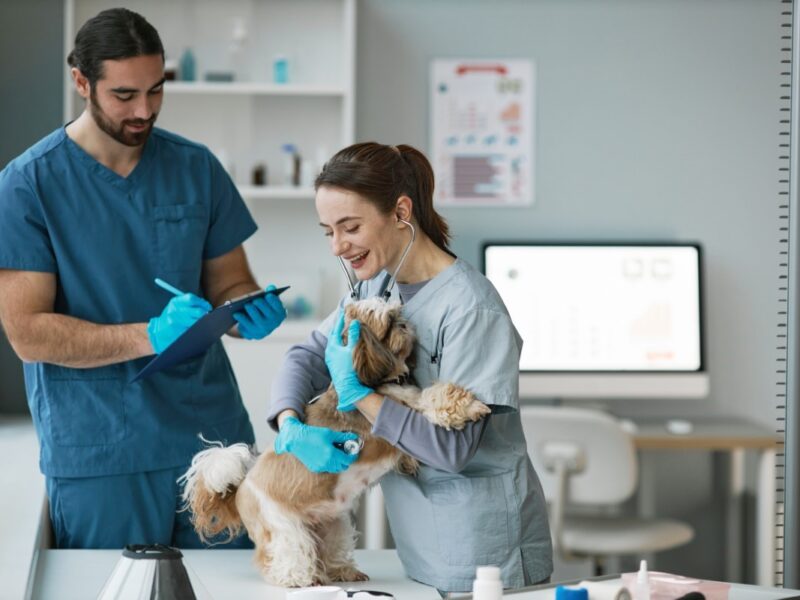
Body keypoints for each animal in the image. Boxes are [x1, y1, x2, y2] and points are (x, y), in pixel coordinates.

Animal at [180, 298, 488, 588]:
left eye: (398, 314)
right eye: (388, 323)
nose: (405, 324)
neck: (375, 379)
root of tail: (241, 486)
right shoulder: (404, 409)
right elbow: (434, 397)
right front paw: (471, 405)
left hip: (333, 523)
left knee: (330, 550)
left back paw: (342, 571)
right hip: (284, 527)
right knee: (287, 554)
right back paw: (299, 579)